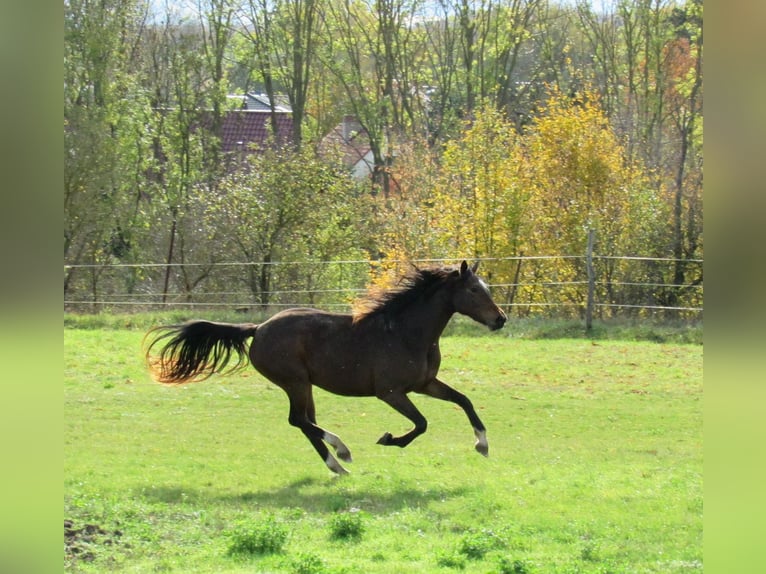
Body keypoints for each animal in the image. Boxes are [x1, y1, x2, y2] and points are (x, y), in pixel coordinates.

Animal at [144, 260, 507, 474]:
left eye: (485, 288)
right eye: (473, 289)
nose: (500, 319)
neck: (406, 332)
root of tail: (258, 329)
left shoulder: (425, 384)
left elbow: (464, 401)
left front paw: (482, 444)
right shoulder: (391, 392)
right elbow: (421, 424)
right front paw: (389, 439)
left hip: (305, 386)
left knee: (306, 422)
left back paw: (337, 464)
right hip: (295, 382)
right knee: (299, 420)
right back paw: (341, 451)